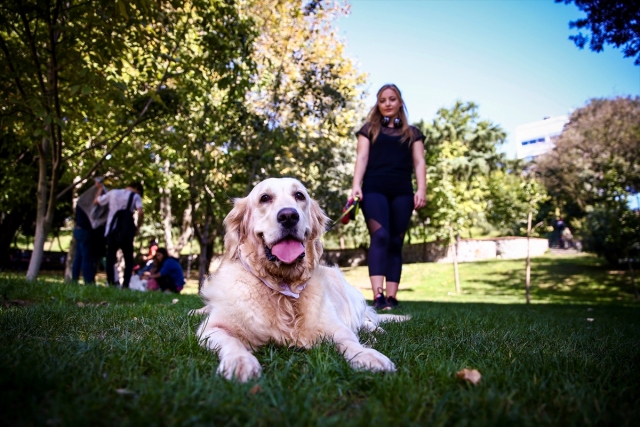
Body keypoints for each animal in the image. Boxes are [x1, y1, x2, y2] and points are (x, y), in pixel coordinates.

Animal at [192, 177, 408, 382]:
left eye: (299, 195)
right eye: (264, 198)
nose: (288, 216)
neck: (283, 288)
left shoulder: (333, 325)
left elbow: (349, 339)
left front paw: (368, 356)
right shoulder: (213, 328)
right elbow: (232, 341)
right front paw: (240, 362)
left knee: (366, 319)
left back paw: (376, 331)